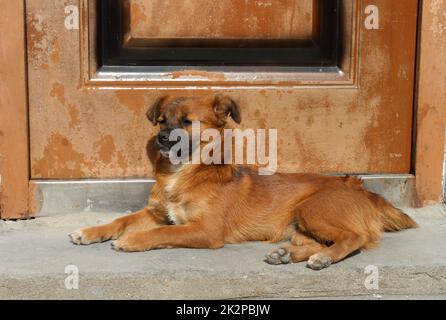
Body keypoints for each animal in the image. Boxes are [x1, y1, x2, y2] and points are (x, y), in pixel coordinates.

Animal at [69, 94, 418, 270]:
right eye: (161, 121)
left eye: (188, 122)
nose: (161, 139)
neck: (184, 174)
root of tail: (360, 188)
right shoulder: (156, 213)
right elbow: (121, 219)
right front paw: (90, 231)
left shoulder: (205, 231)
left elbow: (161, 232)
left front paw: (132, 240)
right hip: (300, 223)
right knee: (328, 239)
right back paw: (287, 254)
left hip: (313, 210)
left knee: (354, 238)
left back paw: (322, 259)